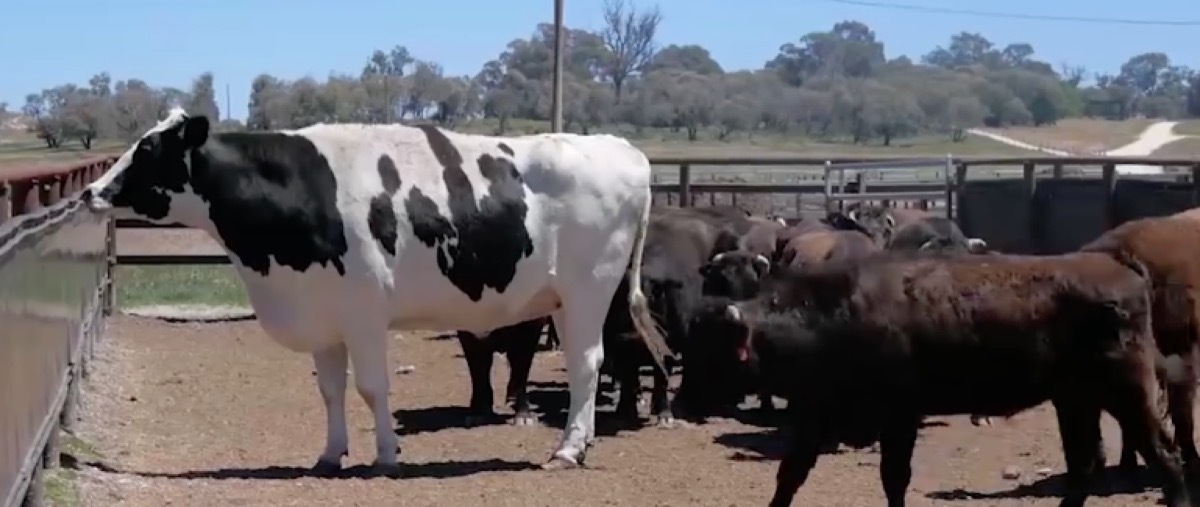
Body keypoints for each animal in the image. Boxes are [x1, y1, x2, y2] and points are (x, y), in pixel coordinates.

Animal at [80, 109, 672, 472]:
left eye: (148, 149)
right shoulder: (322, 314)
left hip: (588, 290)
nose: (90, 191)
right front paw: (330, 454)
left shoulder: (364, 310)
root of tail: (622, 149)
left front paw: (387, 454)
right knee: (588, 363)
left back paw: (569, 449)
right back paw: (582, 440)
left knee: (587, 364)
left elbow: (371, 387)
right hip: (575, 299)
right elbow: (330, 390)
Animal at [678, 250, 1190, 507]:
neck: (832, 315)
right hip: (1075, 399)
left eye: (711, 351)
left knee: (1165, 457)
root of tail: (1120, 267)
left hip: (1125, 394)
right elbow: (791, 475)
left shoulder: (899, 416)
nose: (682, 404)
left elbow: (893, 478)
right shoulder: (816, 413)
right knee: (1084, 468)